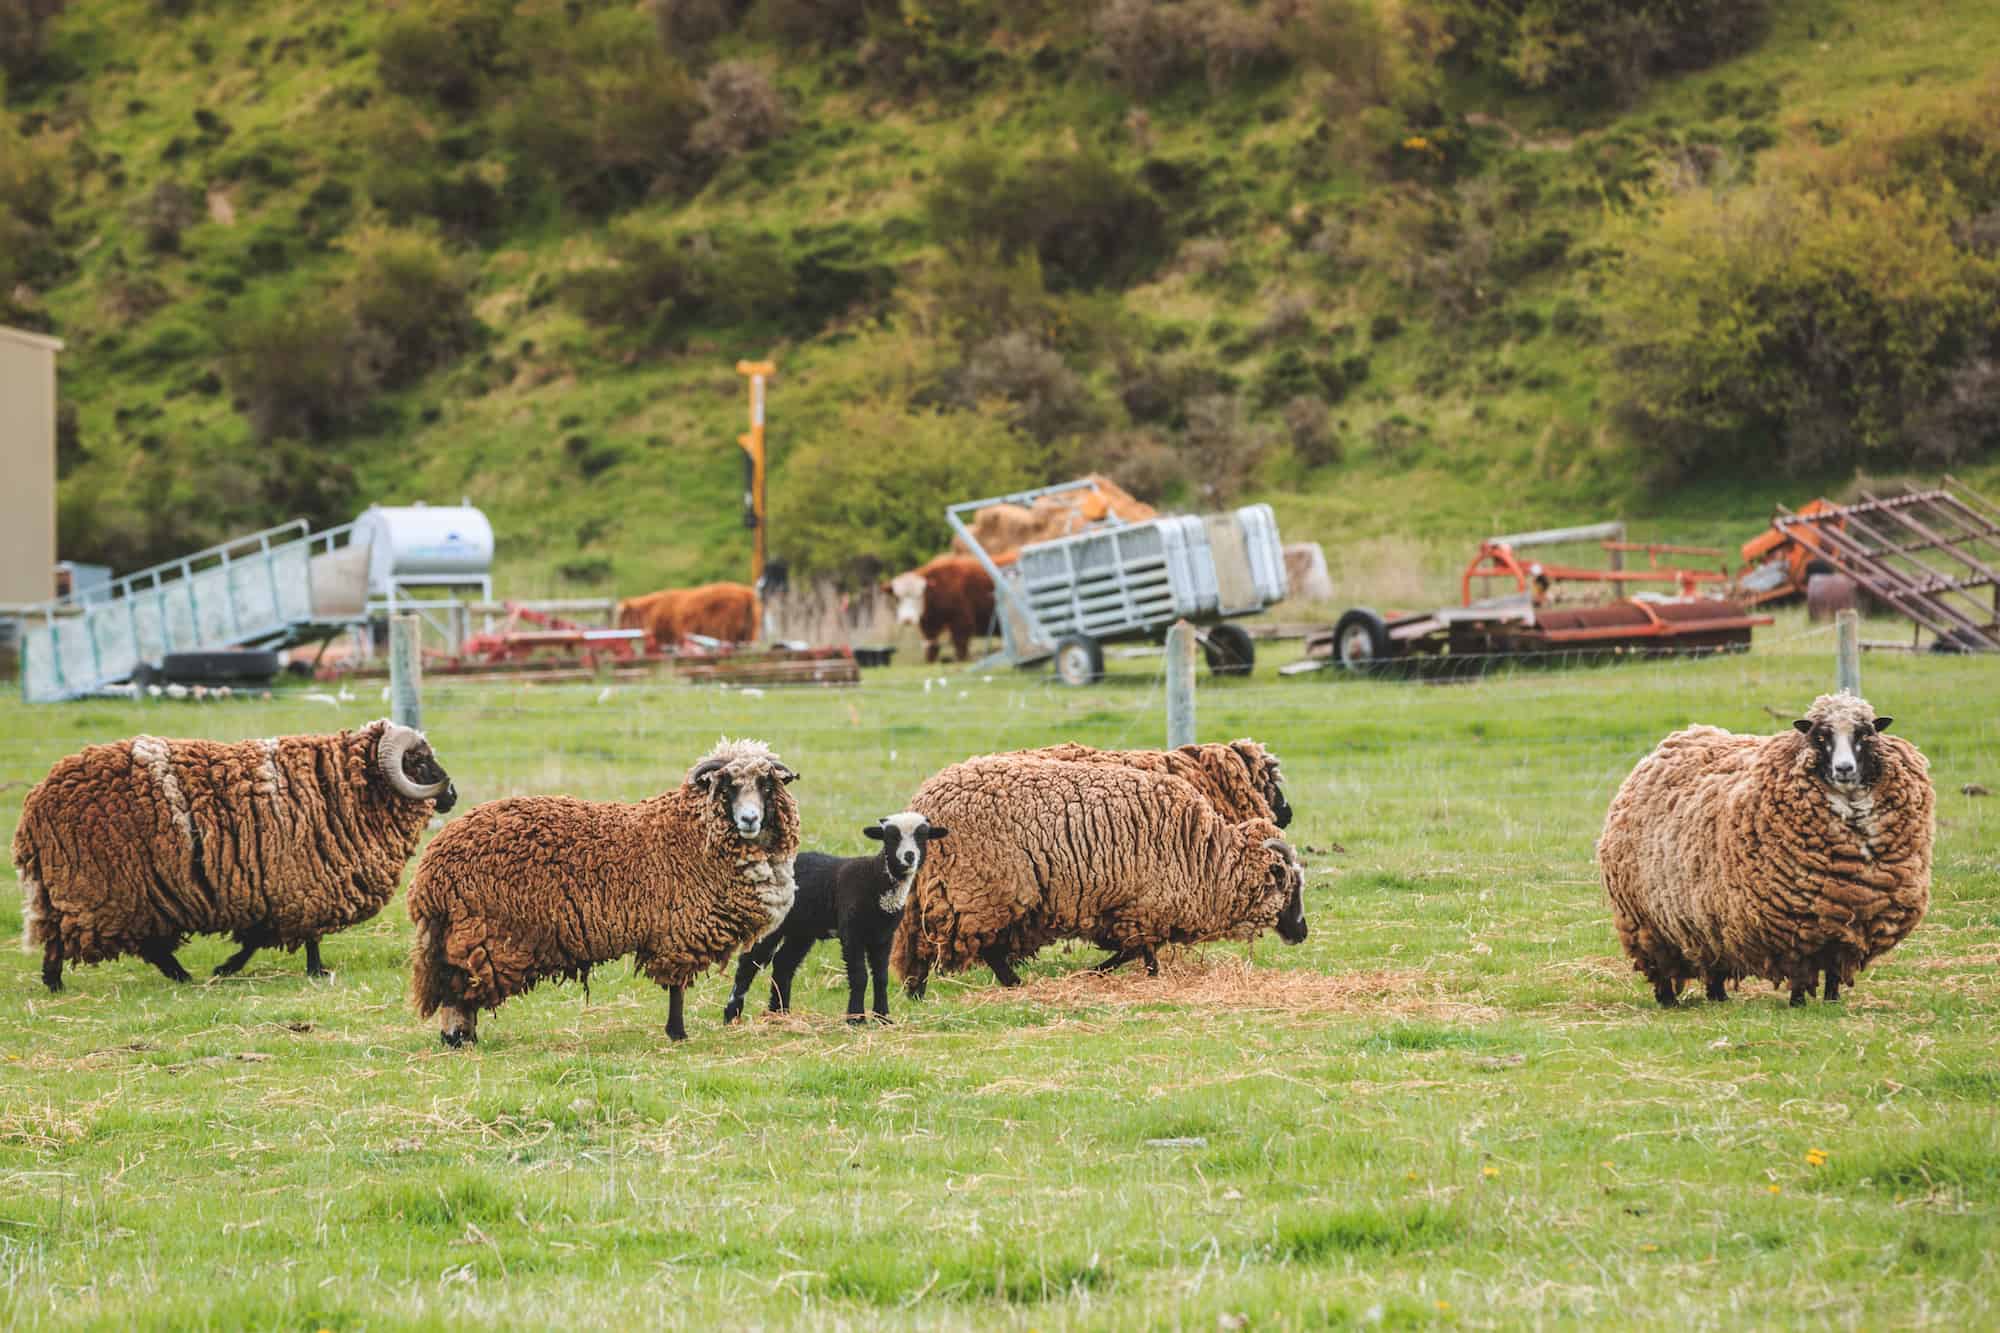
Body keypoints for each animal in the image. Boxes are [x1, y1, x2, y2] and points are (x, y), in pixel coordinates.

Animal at [15, 716, 456, 984]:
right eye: (418, 761)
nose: (452, 794)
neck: (339, 787)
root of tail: (36, 803)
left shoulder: (284, 888)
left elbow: (266, 936)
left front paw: (233, 967)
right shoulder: (298, 883)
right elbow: (290, 937)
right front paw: (302, 970)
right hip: (107, 887)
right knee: (96, 938)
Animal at [406, 732, 796, 1040]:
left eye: (766, 786)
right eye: (727, 787)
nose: (749, 819)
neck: (688, 833)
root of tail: (429, 871)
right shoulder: (678, 930)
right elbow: (676, 988)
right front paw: (677, 1033)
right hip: (483, 931)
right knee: (458, 986)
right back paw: (458, 1037)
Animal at [720, 808, 944, 1016]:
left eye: (922, 836)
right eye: (891, 837)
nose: (909, 856)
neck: (876, 878)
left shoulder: (883, 935)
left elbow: (881, 977)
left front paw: (883, 1017)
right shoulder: (851, 931)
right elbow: (859, 976)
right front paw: (856, 1017)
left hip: (802, 929)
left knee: (783, 964)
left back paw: (780, 1013)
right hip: (771, 923)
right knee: (749, 963)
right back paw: (732, 1014)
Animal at [896, 752, 1304, 992]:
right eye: (1290, 888)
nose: (1302, 933)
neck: (1207, 855)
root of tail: (924, 802)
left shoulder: (1132, 908)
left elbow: (1139, 952)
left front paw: (1118, 973)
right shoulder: (1145, 905)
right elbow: (1137, 951)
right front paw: (1103, 973)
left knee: (922, 940)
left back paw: (917, 991)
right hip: (986, 890)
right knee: (983, 945)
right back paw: (1010, 983)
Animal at [1592, 688, 1936, 1000]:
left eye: (1865, 734)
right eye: (1819, 737)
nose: (1844, 769)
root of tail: (1674, 742)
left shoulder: (1846, 922)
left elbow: (1834, 970)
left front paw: (1832, 1001)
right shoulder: (1796, 927)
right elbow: (1800, 971)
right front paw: (1799, 1002)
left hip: (1708, 922)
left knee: (1715, 962)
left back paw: (1718, 996)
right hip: (1647, 922)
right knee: (1661, 965)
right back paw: (1668, 999)